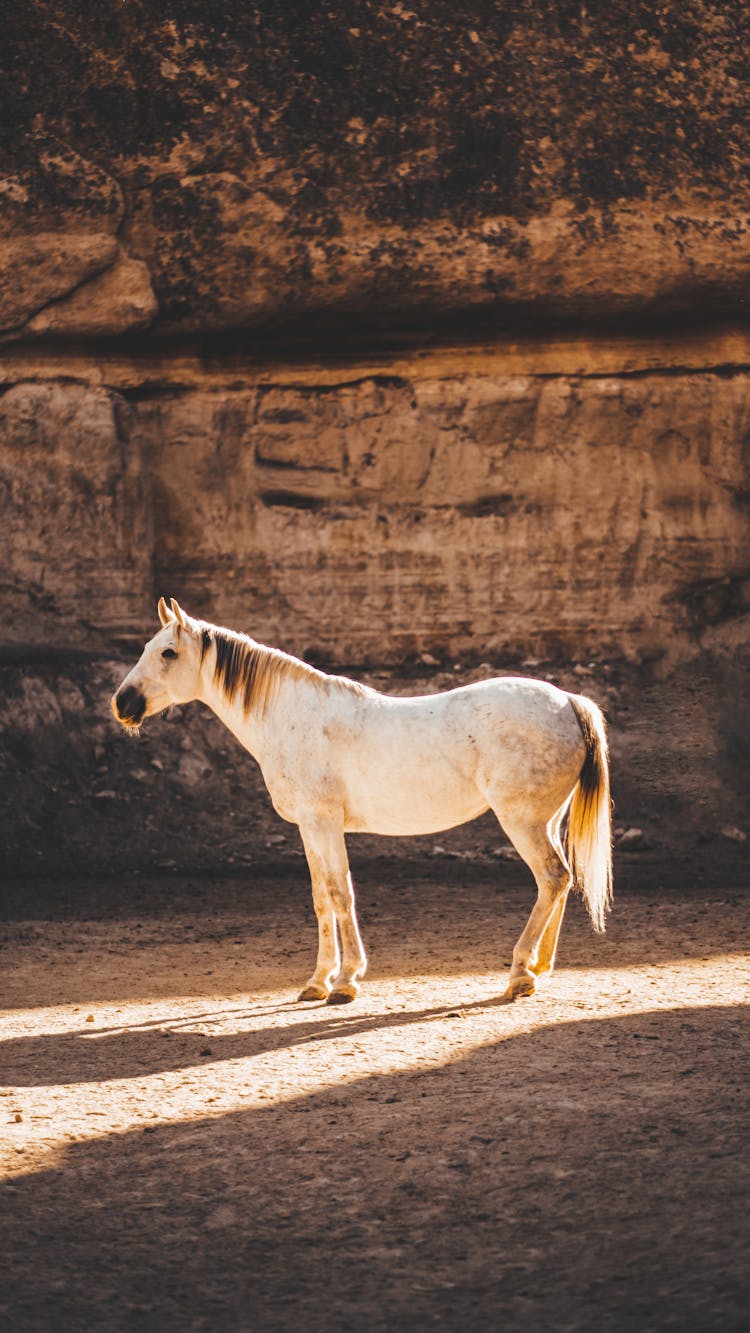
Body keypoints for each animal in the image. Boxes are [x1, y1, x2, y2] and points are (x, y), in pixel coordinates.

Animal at [113, 599, 615, 1002]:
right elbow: (321, 897)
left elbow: (340, 893)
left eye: (168, 652)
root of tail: (569, 701)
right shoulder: (309, 828)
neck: (293, 717)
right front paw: (317, 982)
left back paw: (519, 974)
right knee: (560, 881)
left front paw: (346, 982)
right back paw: (539, 968)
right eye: (146, 647)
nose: (122, 704)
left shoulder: (324, 823)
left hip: (521, 822)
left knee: (551, 877)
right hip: (545, 821)